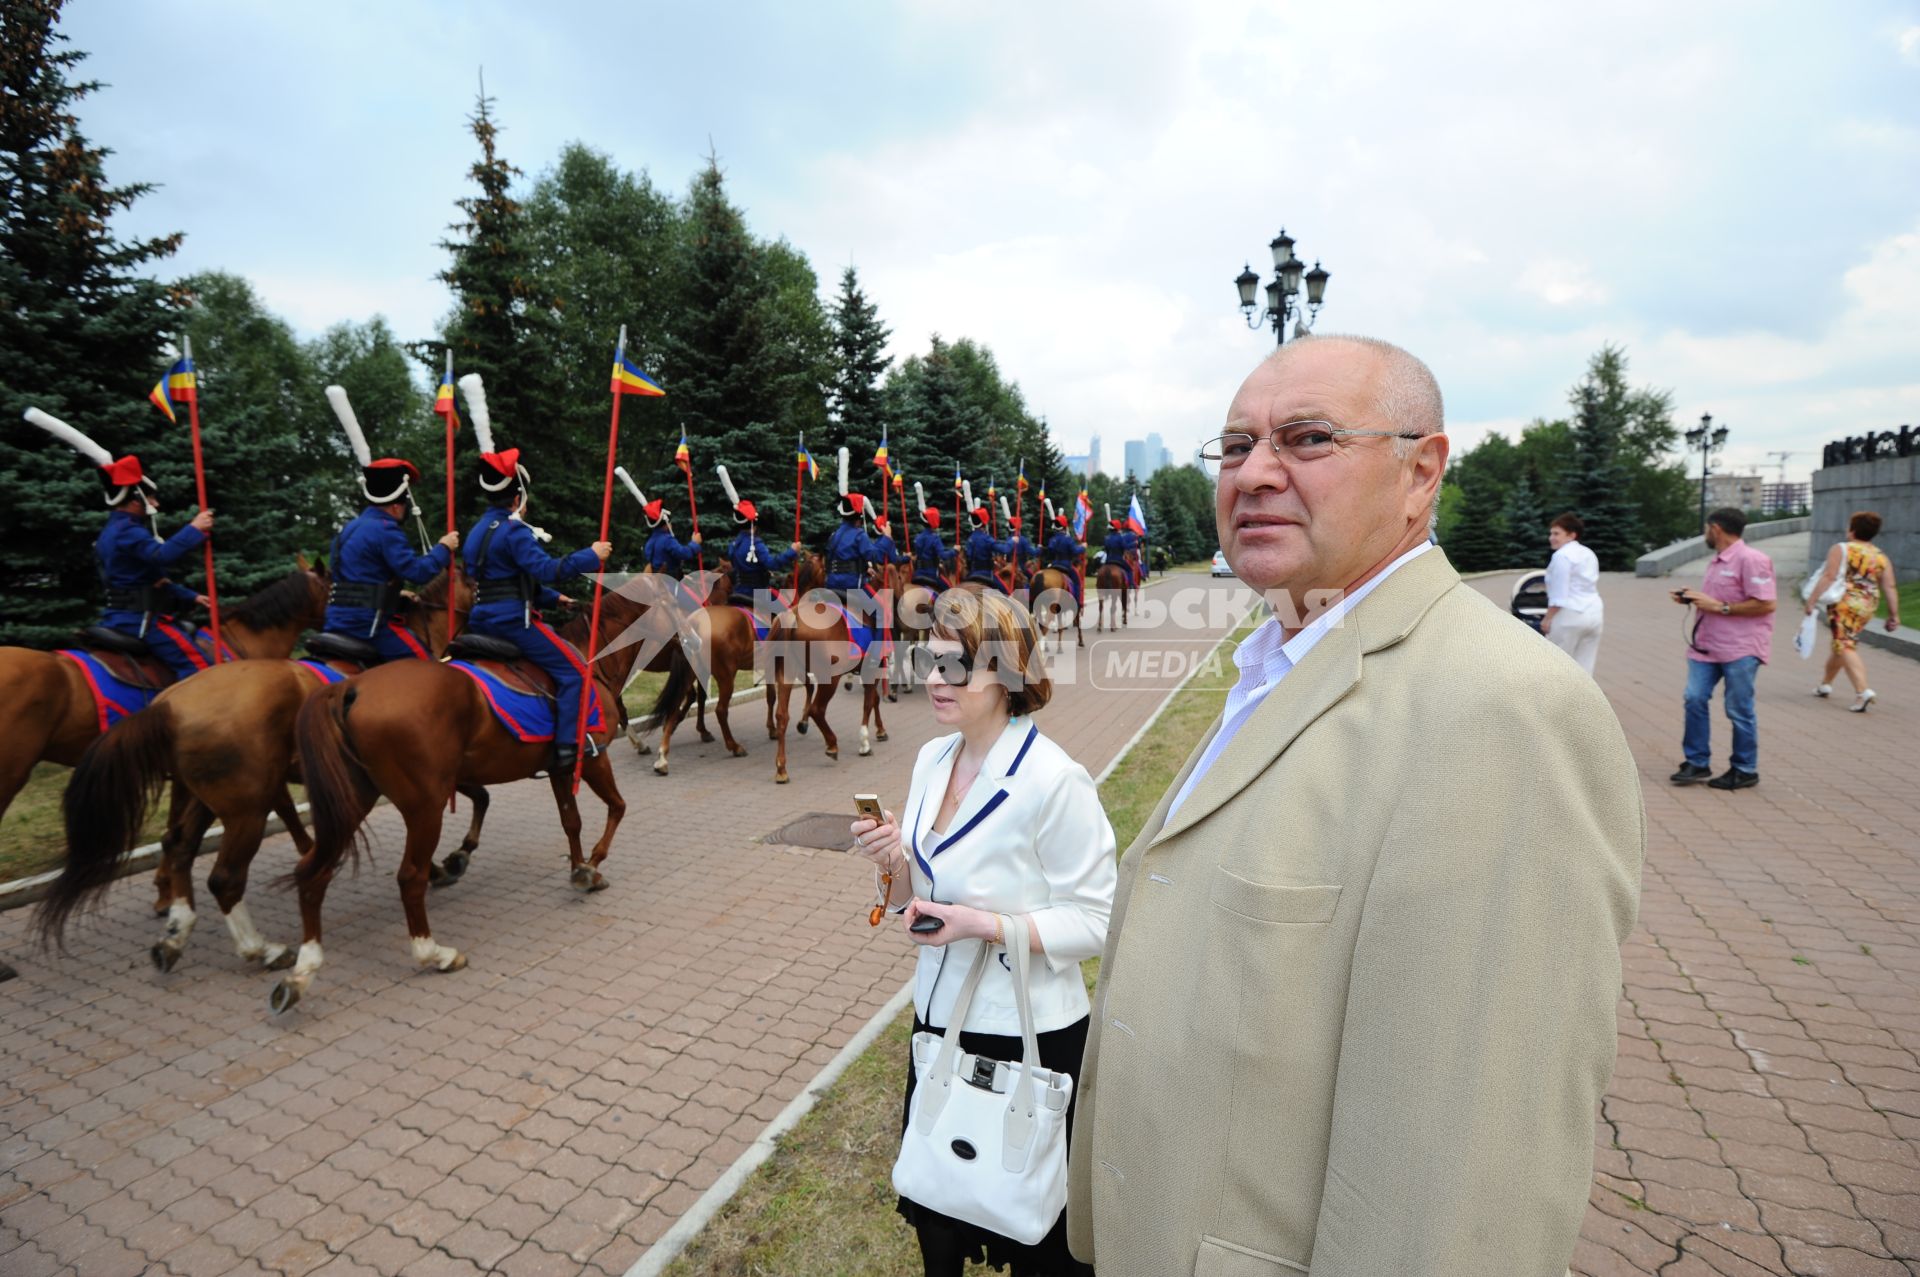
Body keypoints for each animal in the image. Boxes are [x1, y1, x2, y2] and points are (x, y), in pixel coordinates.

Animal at [36, 576, 476, 975]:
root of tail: (169, 702)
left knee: (179, 843)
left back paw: (177, 927)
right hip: (239, 803)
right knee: (223, 876)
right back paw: (258, 947)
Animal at [278, 583, 652, 1013]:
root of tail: (349, 688)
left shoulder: (561, 767)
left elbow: (569, 821)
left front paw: (579, 868)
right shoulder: (593, 758)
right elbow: (617, 808)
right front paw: (593, 864)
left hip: (353, 799)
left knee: (313, 871)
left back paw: (301, 972)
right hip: (426, 806)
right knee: (409, 877)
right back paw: (433, 952)